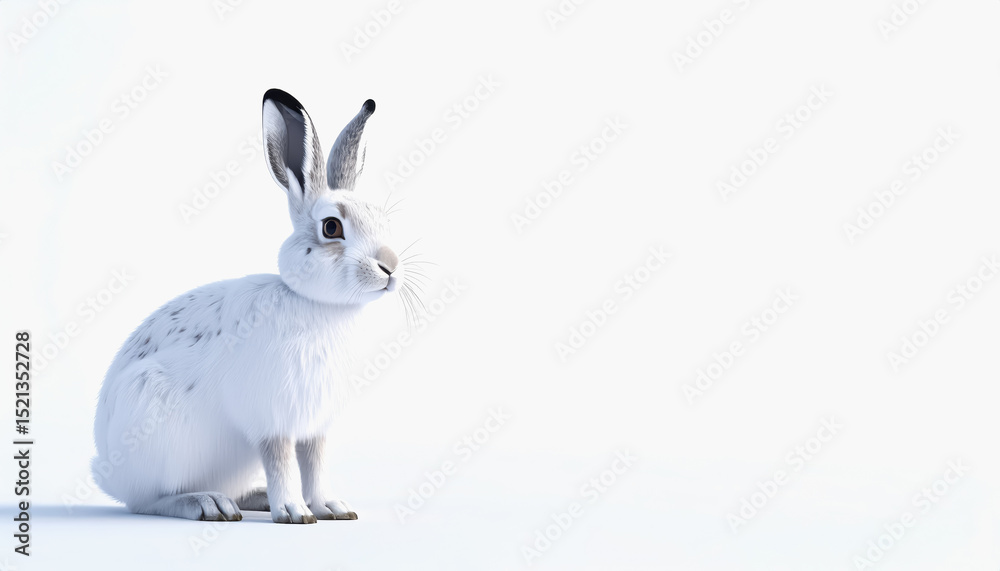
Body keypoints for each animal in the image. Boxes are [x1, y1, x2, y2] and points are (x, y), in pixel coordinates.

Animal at [91, 89, 412, 523]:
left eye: (382, 220)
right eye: (332, 227)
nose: (390, 266)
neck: (317, 304)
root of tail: (107, 470)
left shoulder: (314, 425)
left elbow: (315, 463)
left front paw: (331, 507)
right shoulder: (270, 418)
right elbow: (280, 461)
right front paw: (294, 511)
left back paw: (252, 497)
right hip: (154, 430)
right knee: (147, 500)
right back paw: (207, 504)